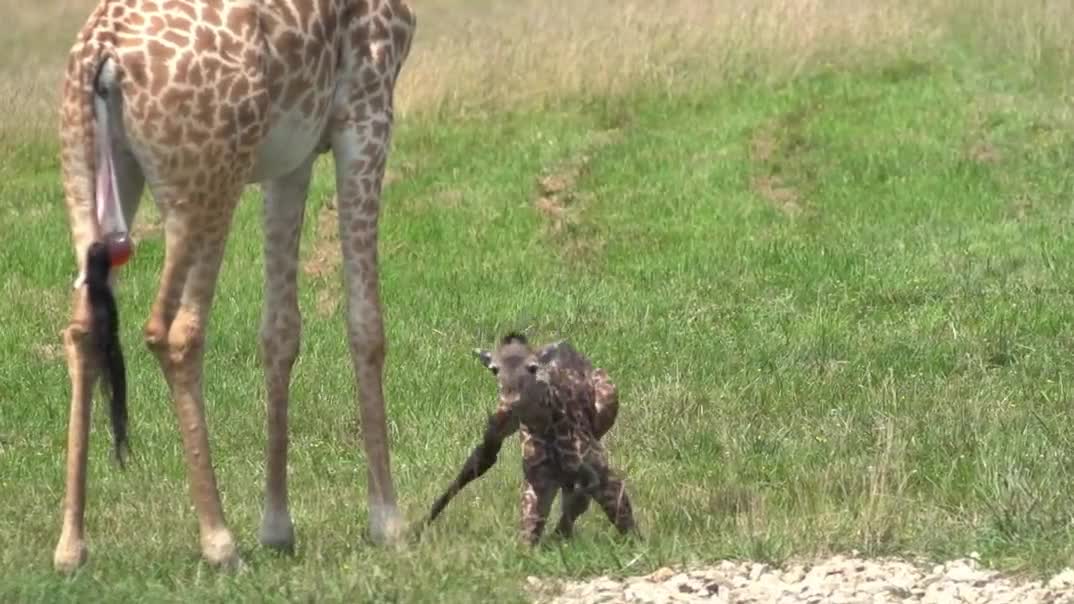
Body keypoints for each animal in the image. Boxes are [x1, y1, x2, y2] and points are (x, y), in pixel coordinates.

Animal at [53, 0, 414, 567]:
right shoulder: (367, 109)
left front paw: (278, 526)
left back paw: (71, 547)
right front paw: (389, 522)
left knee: (83, 329)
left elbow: (281, 332)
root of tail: (102, 53)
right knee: (174, 331)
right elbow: (366, 325)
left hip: (87, 175)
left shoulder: (294, 153)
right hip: (207, 184)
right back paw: (219, 541)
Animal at [418, 331, 635, 543]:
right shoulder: (537, 477)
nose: (510, 401)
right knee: (482, 459)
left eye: (532, 367)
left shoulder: (598, 469)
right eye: (494, 369)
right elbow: (529, 533)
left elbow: (618, 513)